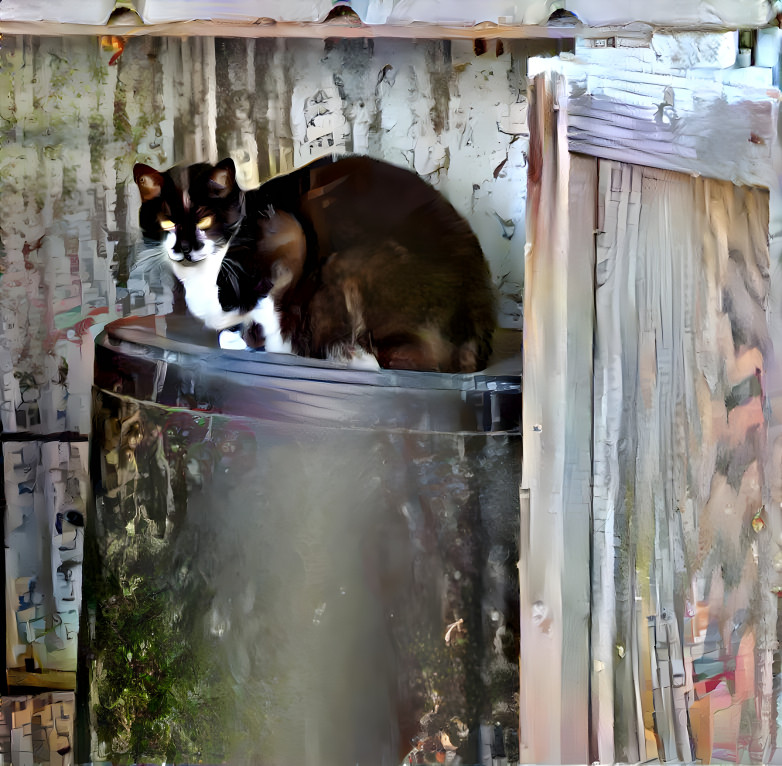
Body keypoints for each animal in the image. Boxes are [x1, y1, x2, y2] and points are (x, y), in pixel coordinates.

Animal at [132, 155, 494, 372]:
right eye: (167, 223)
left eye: (205, 219)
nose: (185, 248)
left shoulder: (292, 241)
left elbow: (269, 312)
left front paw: (264, 342)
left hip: (348, 265)